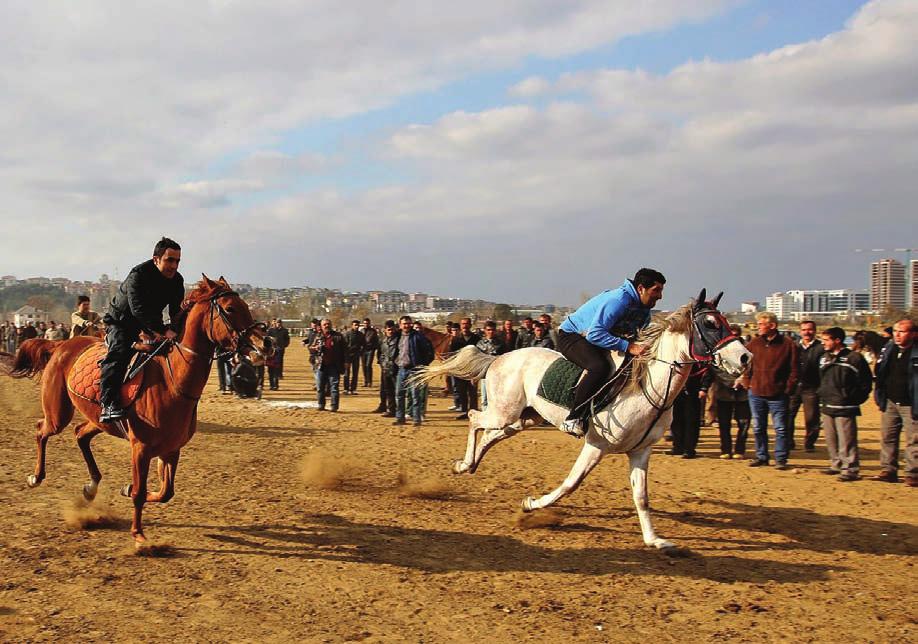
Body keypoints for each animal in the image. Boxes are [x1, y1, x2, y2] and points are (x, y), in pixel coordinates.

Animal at [7, 276, 270, 544]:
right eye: (230, 308)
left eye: (246, 306)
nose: (266, 343)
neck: (172, 381)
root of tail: (60, 345)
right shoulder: (141, 448)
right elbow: (140, 492)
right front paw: (139, 535)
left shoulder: (171, 448)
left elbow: (165, 492)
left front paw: (127, 490)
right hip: (58, 414)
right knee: (41, 430)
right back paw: (36, 477)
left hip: (100, 421)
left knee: (80, 433)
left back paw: (91, 487)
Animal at [414, 290, 752, 548]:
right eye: (710, 323)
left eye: (725, 323)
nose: (745, 358)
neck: (649, 386)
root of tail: (500, 357)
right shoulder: (596, 444)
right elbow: (571, 483)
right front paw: (532, 505)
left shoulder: (640, 451)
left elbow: (641, 497)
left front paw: (655, 540)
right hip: (505, 411)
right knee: (474, 418)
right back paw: (463, 464)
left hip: (524, 419)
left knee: (490, 434)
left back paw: (467, 465)